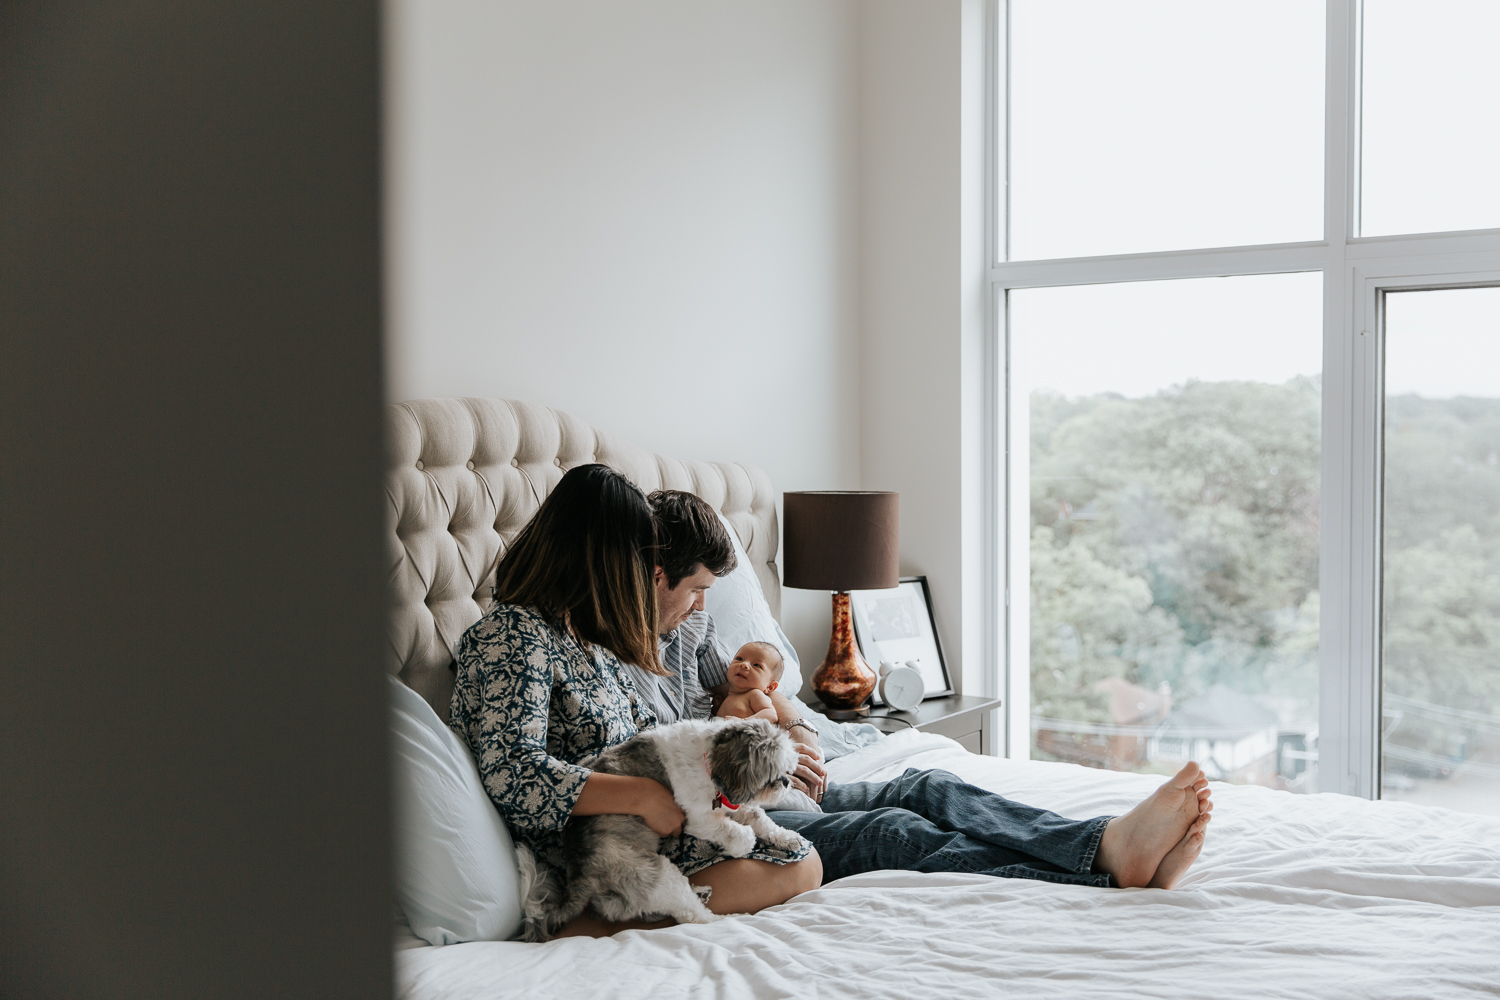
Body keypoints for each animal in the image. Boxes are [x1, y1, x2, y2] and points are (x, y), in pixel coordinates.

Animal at [522, 719, 816, 941]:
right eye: (770, 776)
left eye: (785, 771)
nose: (787, 782)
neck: (709, 759)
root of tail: (579, 878)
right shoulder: (697, 817)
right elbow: (737, 831)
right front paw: (743, 843)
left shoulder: (731, 803)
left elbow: (758, 817)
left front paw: (788, 838)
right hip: (655, 873)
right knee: (695, 918)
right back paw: (730, 918)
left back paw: (699, 892)